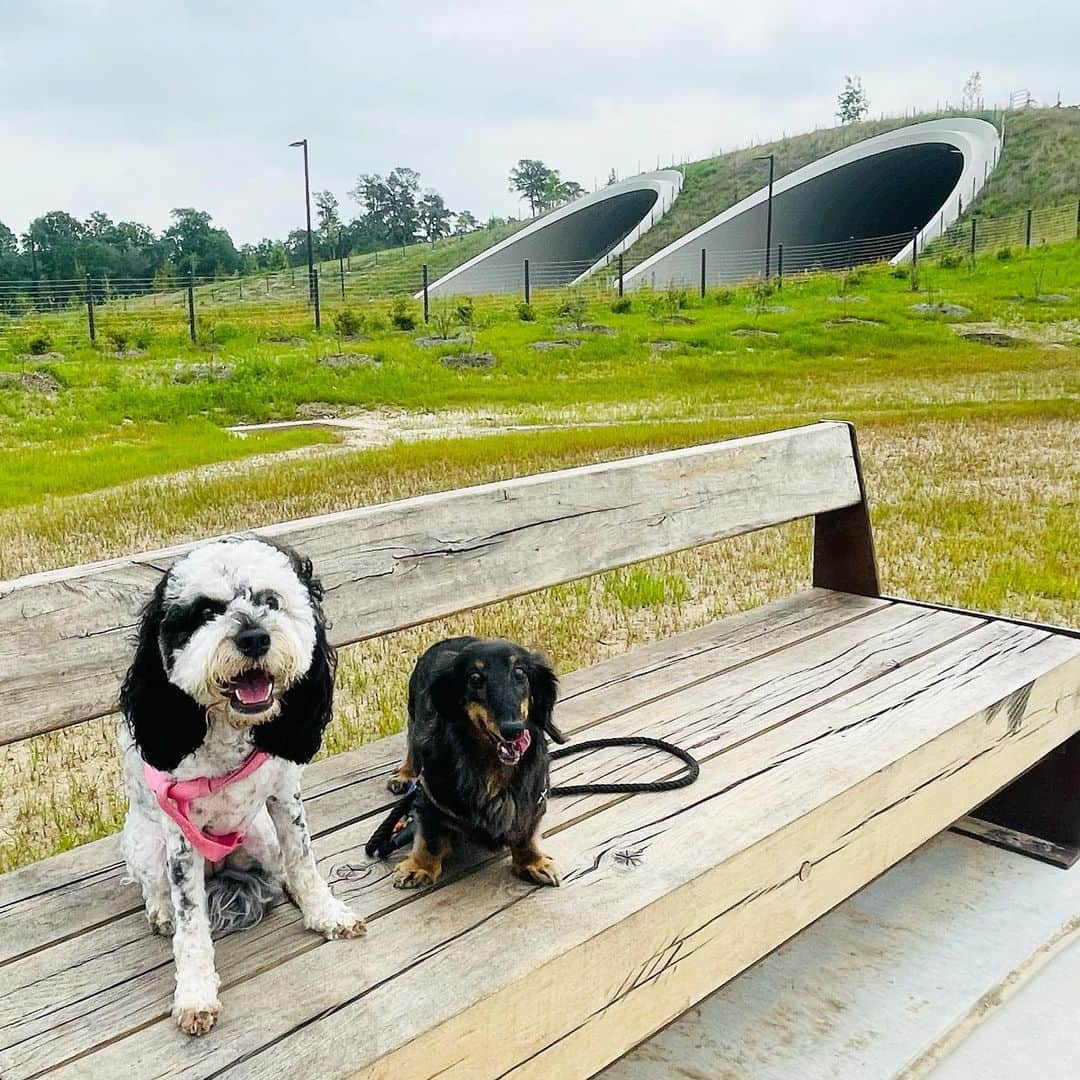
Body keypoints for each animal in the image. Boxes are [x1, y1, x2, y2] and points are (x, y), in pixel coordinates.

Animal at [118, 535, 362, 1032]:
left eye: (270, 601)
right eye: (205, 611)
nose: (254, 637)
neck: (228, 733)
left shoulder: (285, 796)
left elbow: (304, 861)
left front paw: (324, 912)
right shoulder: (180, 837)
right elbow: (192, 920)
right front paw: (195, 992)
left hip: (260, 836)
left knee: (279, 865)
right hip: (145, 844)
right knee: (155, 889)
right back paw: (161, 911)